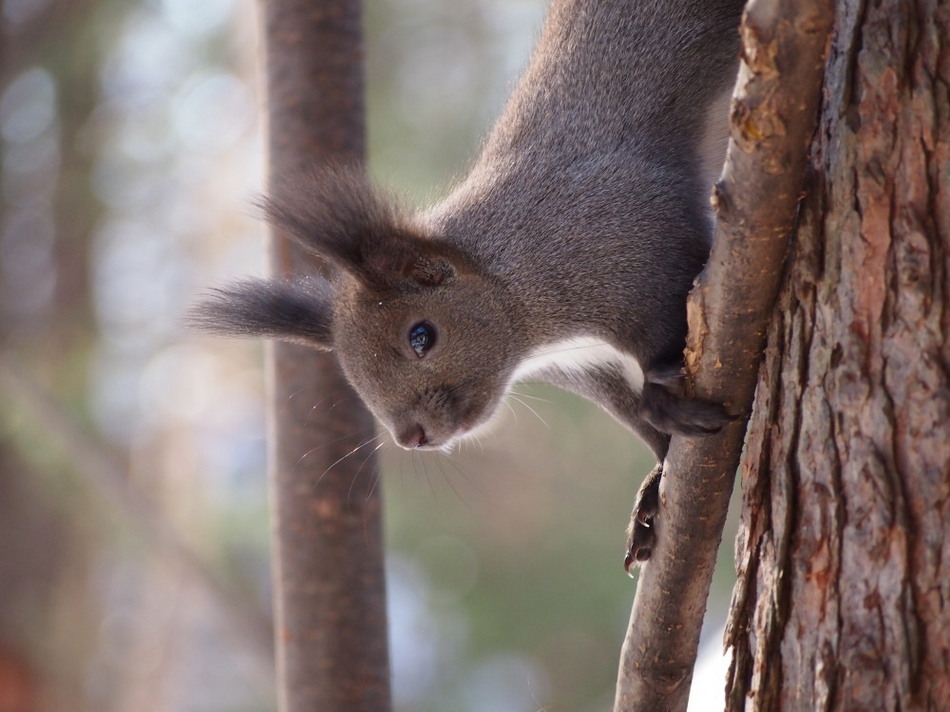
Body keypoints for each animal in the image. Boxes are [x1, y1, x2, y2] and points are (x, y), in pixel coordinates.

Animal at [190, 0, 748, 568]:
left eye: (421, 336)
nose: (411, 437)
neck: (510, 286)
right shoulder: (592, 368)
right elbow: (641, 422)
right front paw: (655, 484)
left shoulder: (635, 251)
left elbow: (671, 328)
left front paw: (667, 407)